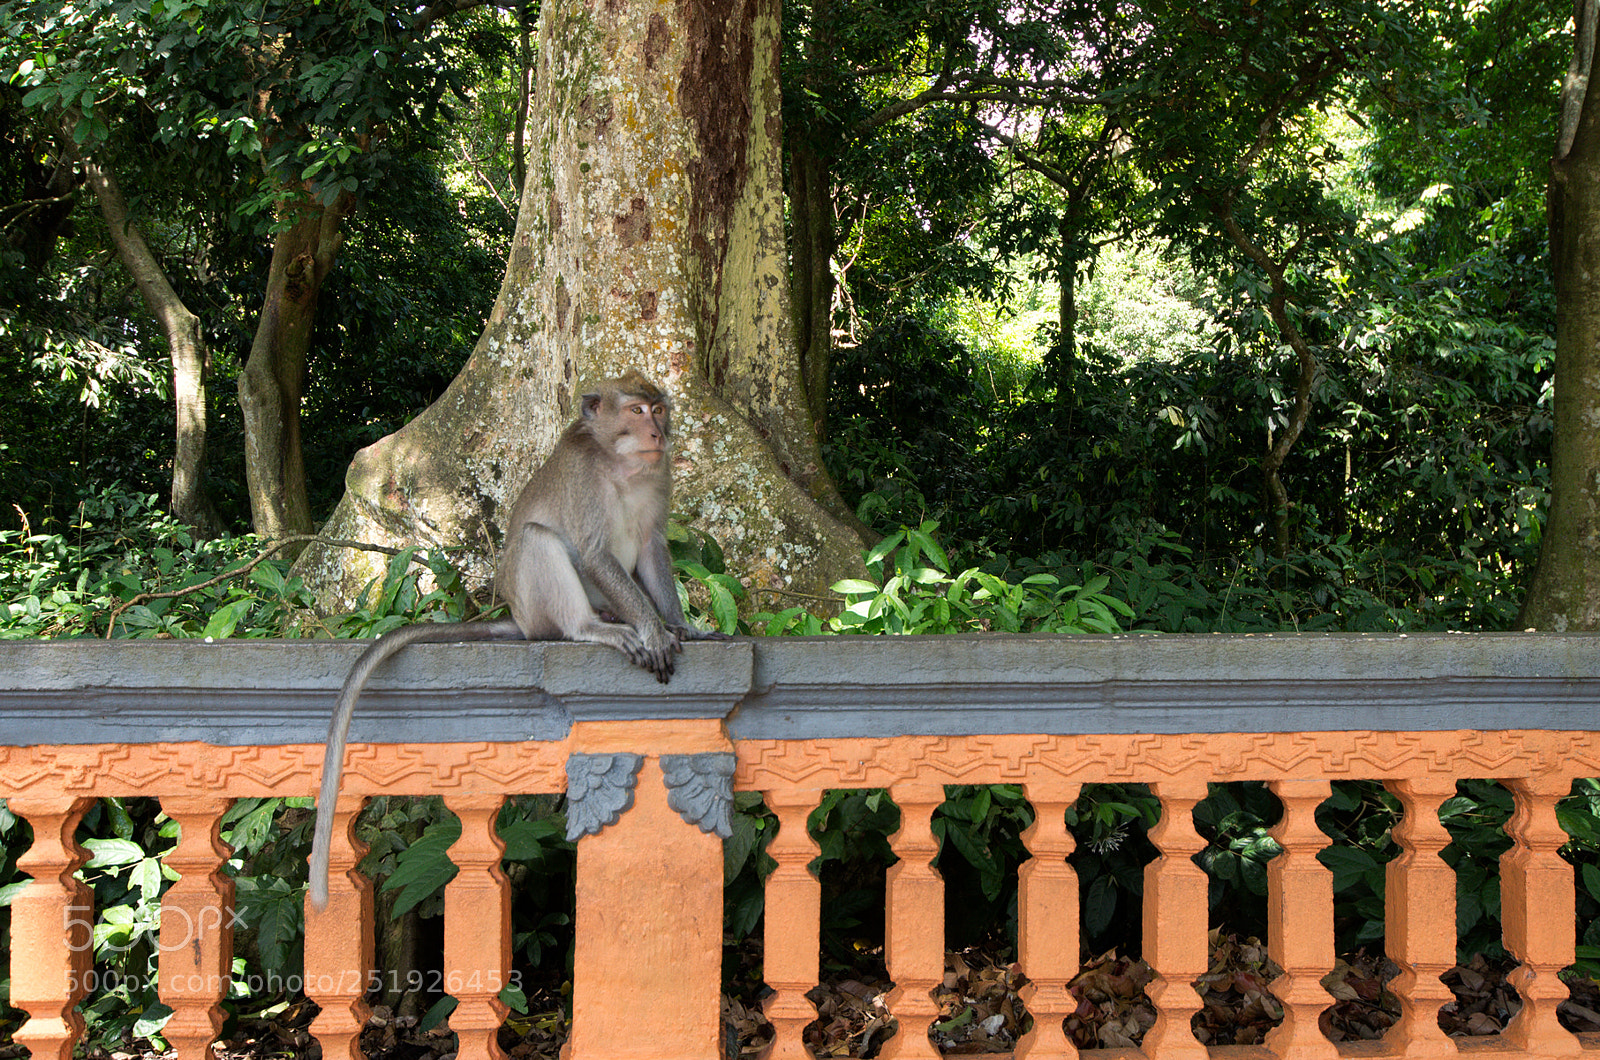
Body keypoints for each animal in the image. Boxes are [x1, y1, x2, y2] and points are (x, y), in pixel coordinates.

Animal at [309, 371, 721, 910]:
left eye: (659, 409)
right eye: (635, 410)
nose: (657, 432)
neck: (622, 464)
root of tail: (521, 620)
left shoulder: (659, 474)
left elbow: (653, 546)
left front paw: (679, 624)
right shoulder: (584, 478)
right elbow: (594, 552)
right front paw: (653, 631)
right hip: (539, 603)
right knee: (537, 540)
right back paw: (596, 627)